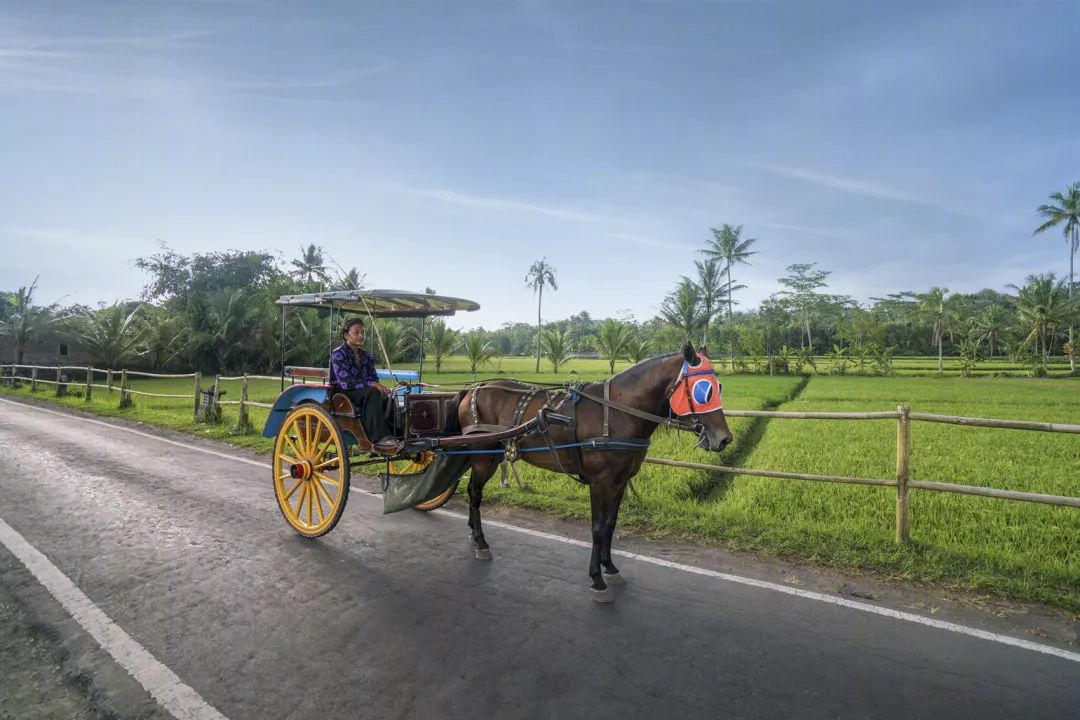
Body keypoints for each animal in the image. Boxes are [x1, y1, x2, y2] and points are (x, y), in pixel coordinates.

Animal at [440, 343, 734, 604]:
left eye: (719, 387)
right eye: (704, 391)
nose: (724, 439)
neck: (616, 413)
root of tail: (473, 389)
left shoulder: (620, 481)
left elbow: (611, 525)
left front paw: (610, 567)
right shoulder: (600, 482)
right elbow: (597, 528)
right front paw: (597, 579)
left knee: (473, 491)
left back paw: (473, 534)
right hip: (483, 456)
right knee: (475, 493)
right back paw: (481, 542)